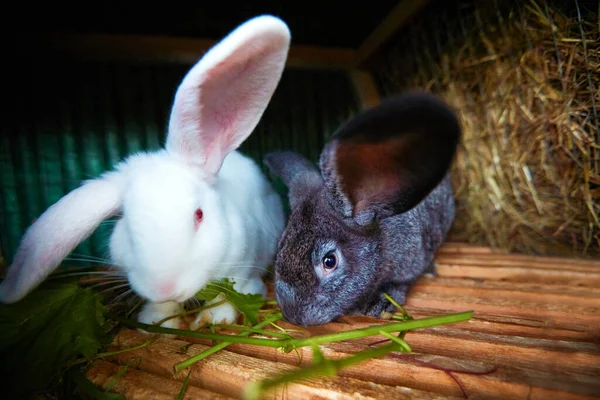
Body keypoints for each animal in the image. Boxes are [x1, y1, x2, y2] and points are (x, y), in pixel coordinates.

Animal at [0, 14, 290, 330]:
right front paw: (158, 320)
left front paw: (214, 318)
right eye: (126, 222)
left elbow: (228, 294)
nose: (164, 287)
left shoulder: (242, 267)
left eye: (199, 215)